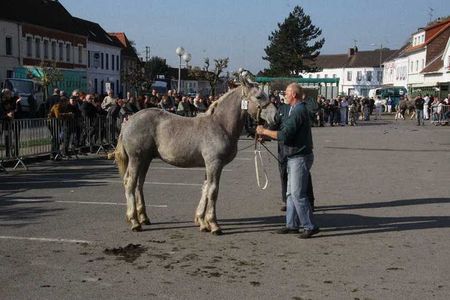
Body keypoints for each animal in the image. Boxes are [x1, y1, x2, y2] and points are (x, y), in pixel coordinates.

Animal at [110, 75, 276, 234]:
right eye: (259, 96)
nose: (275, 117)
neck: (220, 125)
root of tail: (128, 121)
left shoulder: (209, 165)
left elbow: (205, 188)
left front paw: (202, 222)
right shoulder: (214, 163)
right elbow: (213, 191)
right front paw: (213, 224)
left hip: (146, 159)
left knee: (139, 183)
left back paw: (143, 217)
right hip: (136, 158)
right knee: (130, 183)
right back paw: (134, 221)